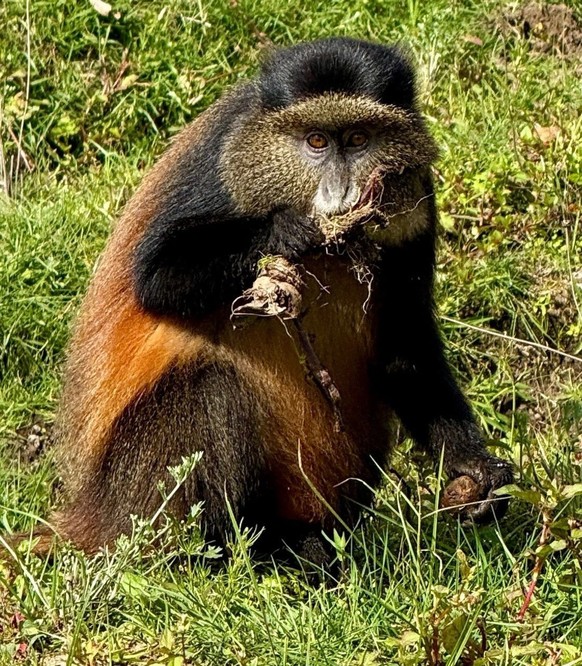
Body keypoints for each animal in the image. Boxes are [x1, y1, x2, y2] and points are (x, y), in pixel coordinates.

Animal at [25, 37, 513, 564]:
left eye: (358, 139)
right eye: (315, 142)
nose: (339, 191)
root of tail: (90, 516)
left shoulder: (419, 202)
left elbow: (406, 345)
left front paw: (475, 466)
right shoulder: (219, 163)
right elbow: (155, 277)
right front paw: (287, 231)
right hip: (139, 492)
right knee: (212, 389)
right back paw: (244, 550)